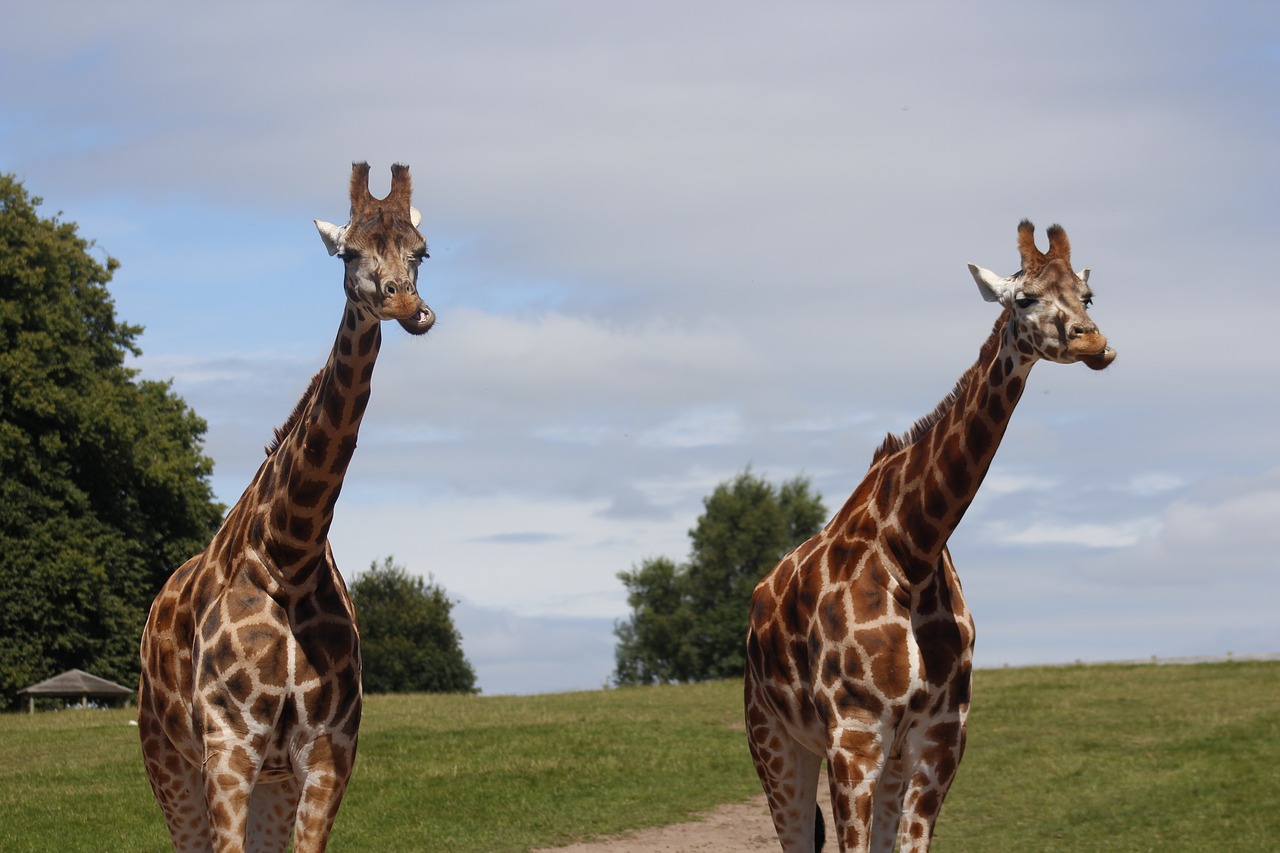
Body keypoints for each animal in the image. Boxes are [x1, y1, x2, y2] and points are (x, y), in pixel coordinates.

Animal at [138, 161, 432, 850]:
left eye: (421, 251)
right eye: (350, 252)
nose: (406, 306)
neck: (289, 557)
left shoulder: (329, 751)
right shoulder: (228, 746)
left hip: (272, 783)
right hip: (166, 759)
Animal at [747, 220, 1116, 850]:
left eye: (1087, 297)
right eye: (1024, 299)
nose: (1094, 344)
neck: (912, 552)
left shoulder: (939, 737)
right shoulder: (854, 734)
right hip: (774, 740)